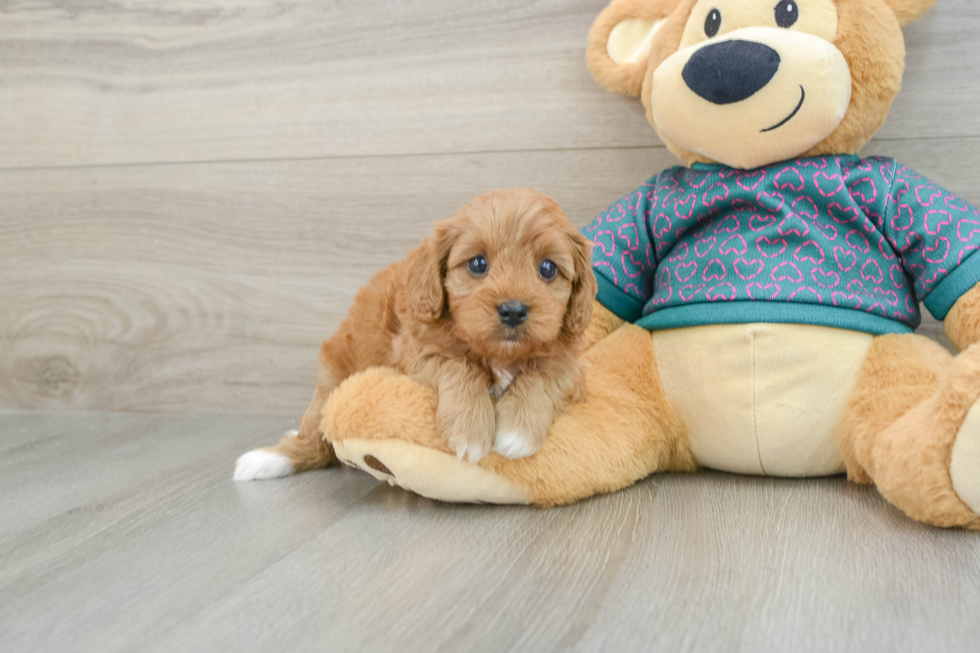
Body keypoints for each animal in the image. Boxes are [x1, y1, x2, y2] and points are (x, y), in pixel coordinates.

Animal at [235, 186, 596, 482]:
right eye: (478, 264)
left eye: (547, 268)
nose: (513, 310)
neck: (497, 352)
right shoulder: (416, 355)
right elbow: (460, 365)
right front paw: (469, 429)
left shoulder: (571, 368)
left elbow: (544, 375)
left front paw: (518, 431)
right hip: (332, 380)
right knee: (313, 439)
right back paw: (266, 460)